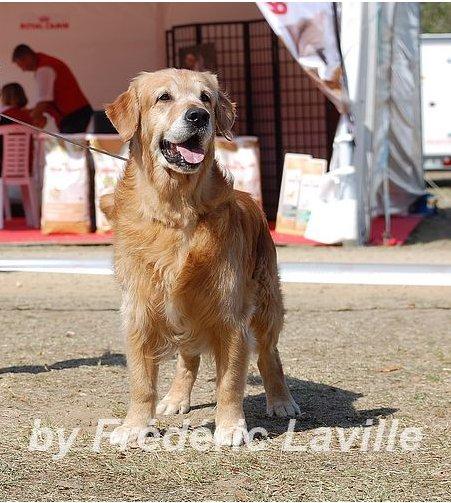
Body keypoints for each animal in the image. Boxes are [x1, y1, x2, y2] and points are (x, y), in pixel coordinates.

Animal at [102, 68, 300, 448]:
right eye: (163, 97)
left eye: (205, 97)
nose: (198, 116)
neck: (177, 210)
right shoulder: (139, 312)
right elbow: (141, 382)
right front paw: (135, 425)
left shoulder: (230, 315)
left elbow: (231, 383)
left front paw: (231, 427)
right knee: (187, 359)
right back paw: (176, 398)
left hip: (267, 302)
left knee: (270, 355)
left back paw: (281, 399)